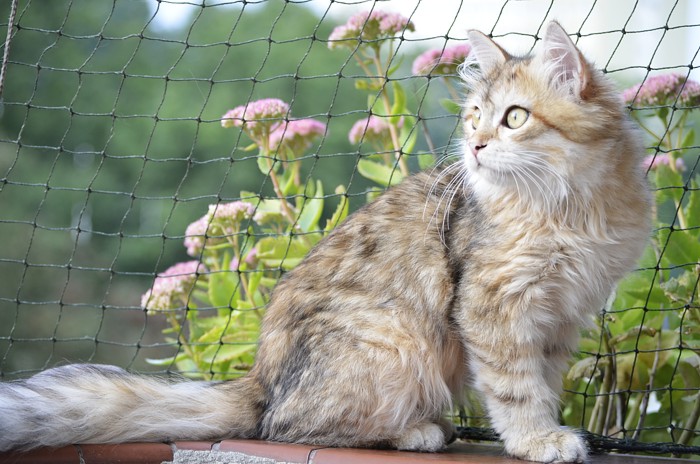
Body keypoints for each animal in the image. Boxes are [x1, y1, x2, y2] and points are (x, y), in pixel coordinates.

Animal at [0, 21, 651, 463]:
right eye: (473, 117)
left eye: (514, 118)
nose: (474, 147)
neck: (572, 207)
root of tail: (260, 381)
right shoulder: (495, 306)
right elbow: (517, 388)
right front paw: (537, 439)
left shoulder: (560, 316)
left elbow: (543, 381)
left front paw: (547, 431)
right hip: (394, 342)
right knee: (286, 428)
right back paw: (418, 431)